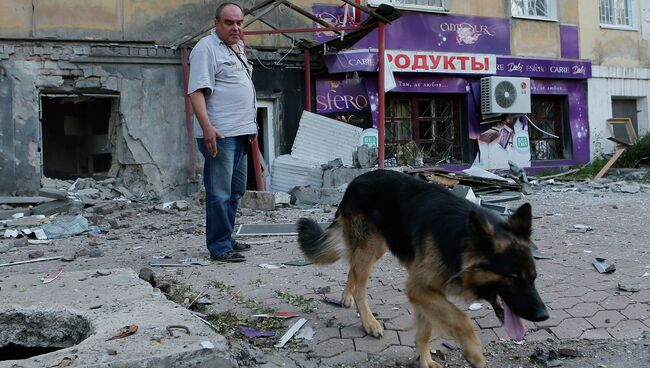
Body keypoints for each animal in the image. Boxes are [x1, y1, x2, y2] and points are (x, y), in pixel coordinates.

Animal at [298, 170, 548, 368]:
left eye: (534, 278)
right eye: (512, 278)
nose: (544, 315)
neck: (459, 239)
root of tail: (355, 180)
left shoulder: (427, 291)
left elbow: (425, 329)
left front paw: (424, 359)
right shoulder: (420, 288)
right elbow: (461, 318)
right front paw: (474, 352)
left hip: (377, 247)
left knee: (353, 270)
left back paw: (346, 296)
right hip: (369, 248)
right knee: (361, 285)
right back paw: (369, 322)